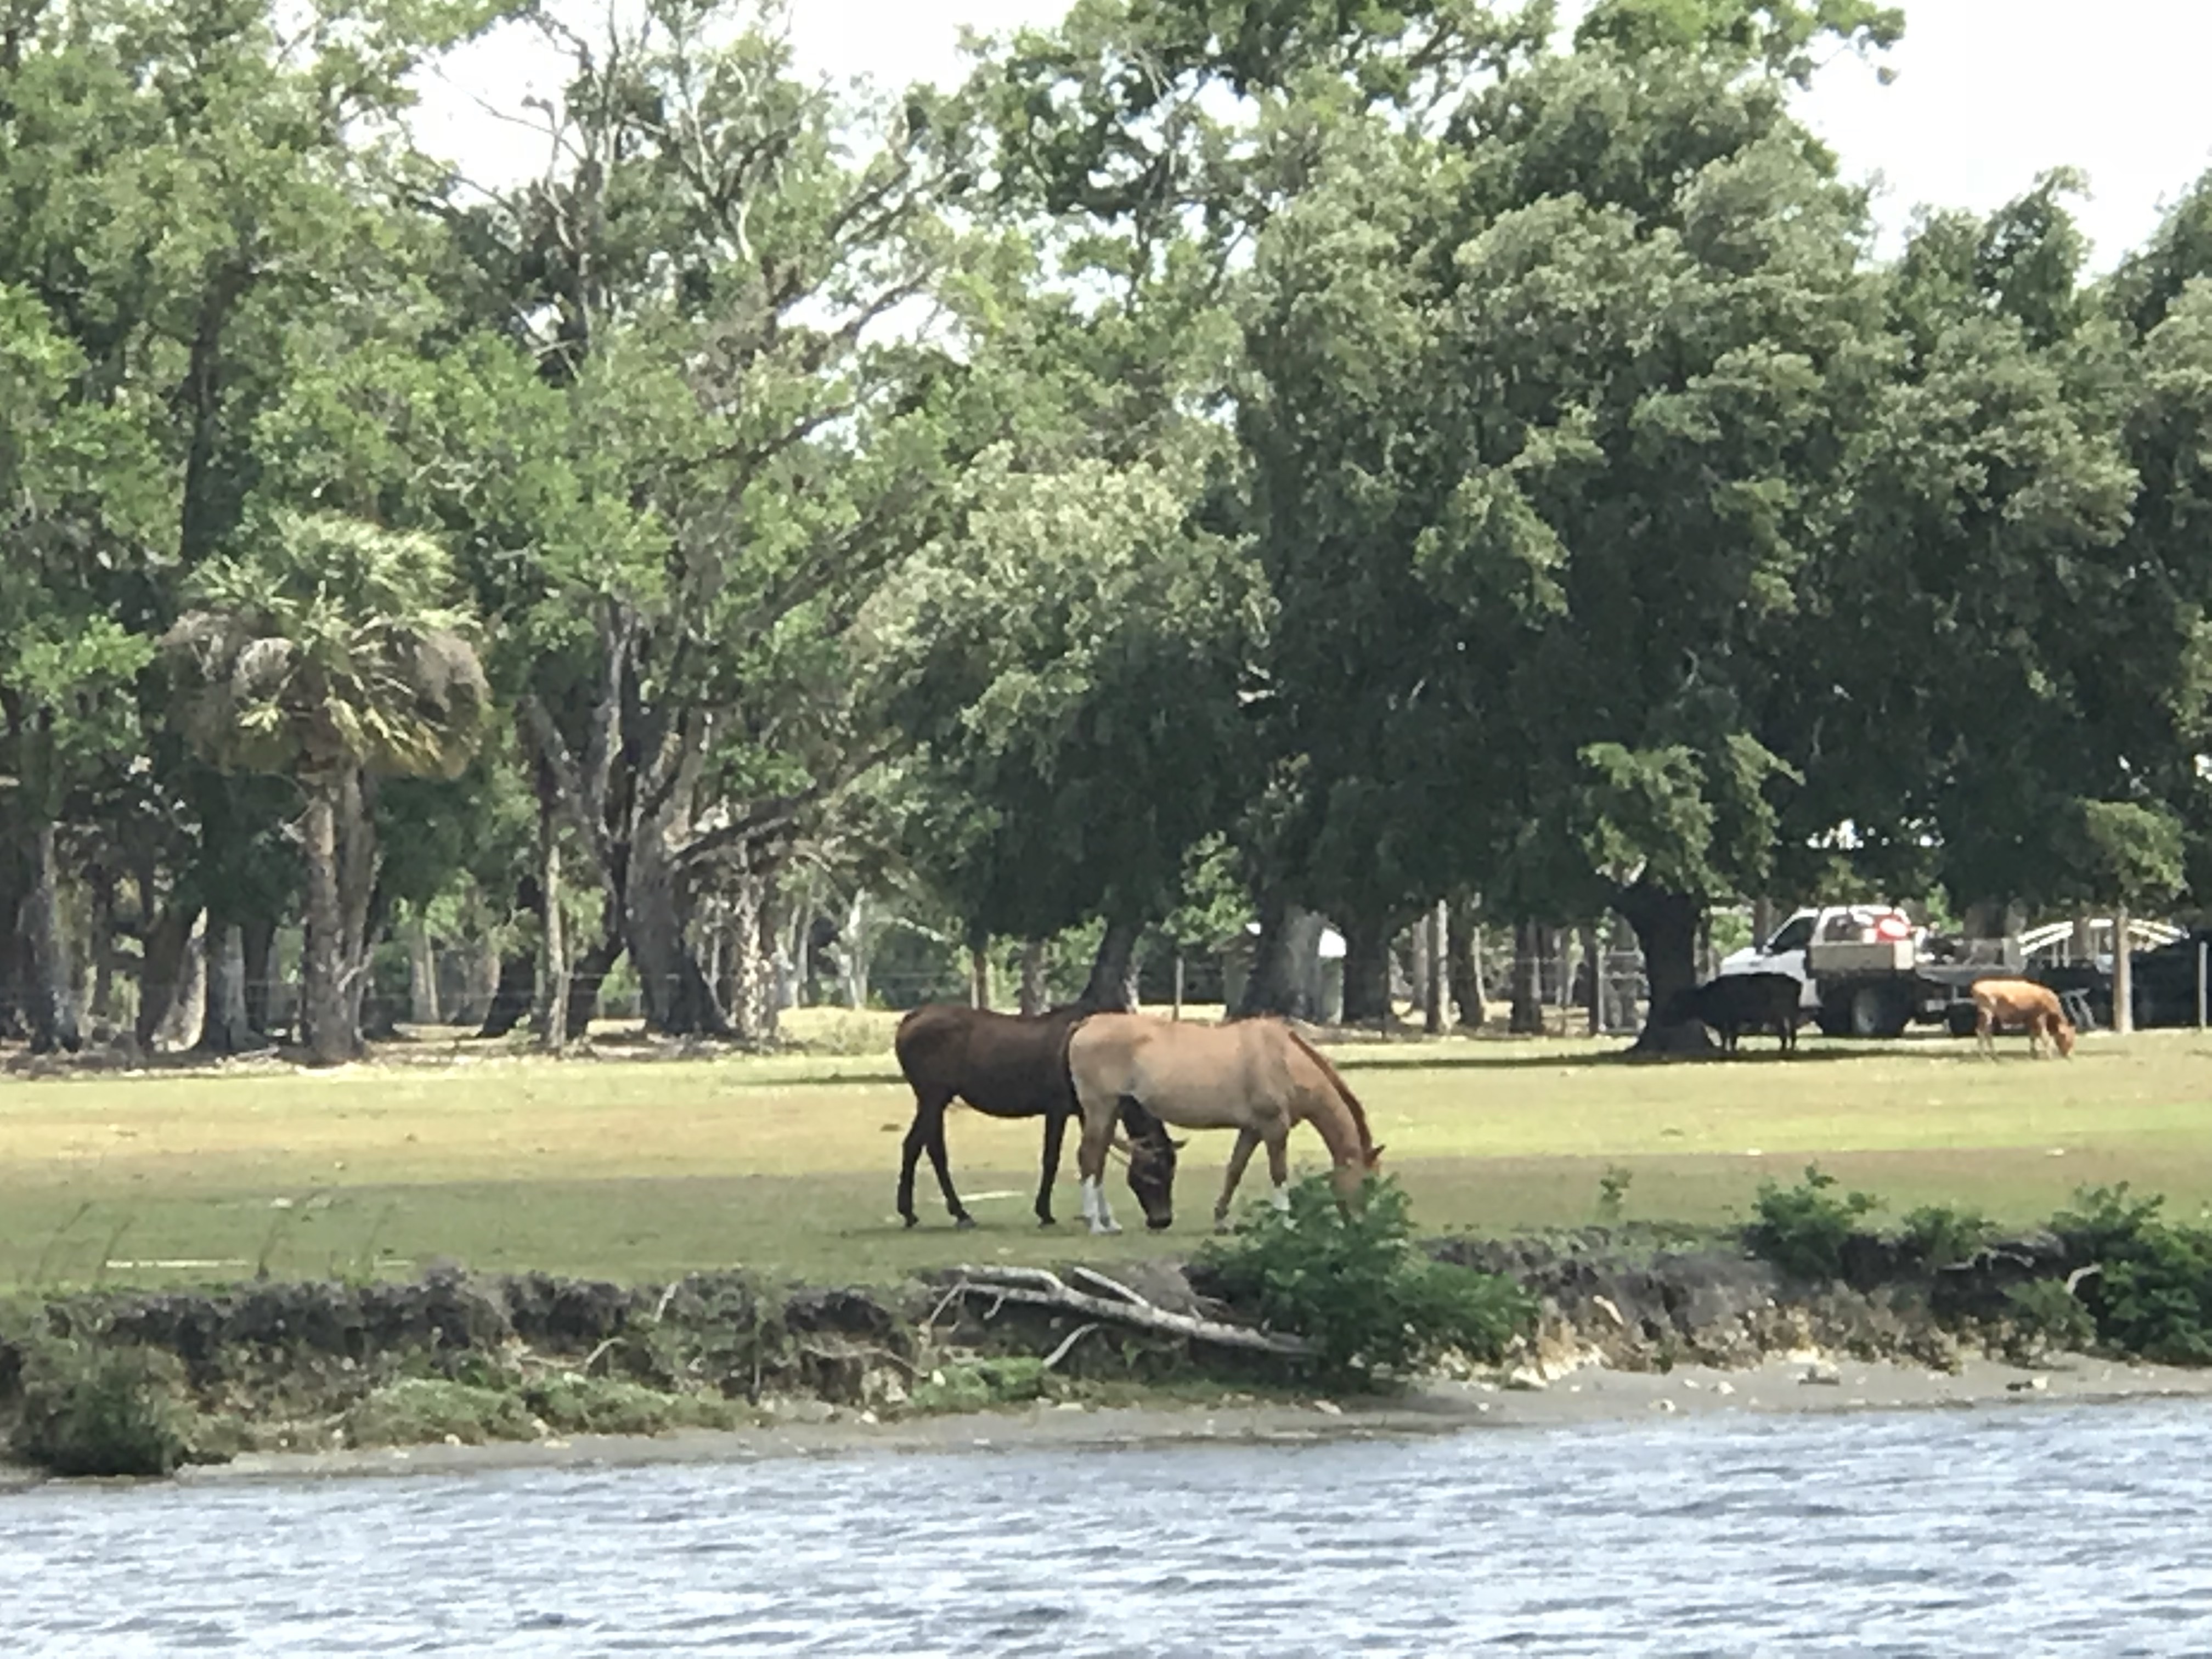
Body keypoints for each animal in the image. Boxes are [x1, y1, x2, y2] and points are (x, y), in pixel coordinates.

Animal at [892, 1003, 1177, 1230]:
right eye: (1153, 1173)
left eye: (1172, 1172)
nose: (1162, 1220)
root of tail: (909, 1020)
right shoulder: (1058, 1109)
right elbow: (1052, 1159)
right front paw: (1046, 1213)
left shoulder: (1088, 1111)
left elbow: (1097, 1159)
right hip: (934, 1097)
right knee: (931, 1149)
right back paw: (957, 1213)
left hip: (932, 1100)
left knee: (916, 1146)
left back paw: (915, 1212)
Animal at [1065, 1012, 1384, 1235]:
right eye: (1367, 1182)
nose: (1363, 1225)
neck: (1283, 1059)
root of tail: (1087, 1023)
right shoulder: (1274, 1129)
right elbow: (1278, 1173)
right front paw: (1286, 1222)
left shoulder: (1252, 1130)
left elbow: (1235, 1170)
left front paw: (1221, 1220)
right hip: (1100, 1108)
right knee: (1089, 1158)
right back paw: (1095, 1223)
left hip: (1112, 1111)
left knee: (1098, 1161)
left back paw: (1108, 1222)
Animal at [1970, 978, 2077, 1059]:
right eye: (2067, 1039)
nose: (2070, 1056)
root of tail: (1977, 985)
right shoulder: (2040, 1018)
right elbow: (2044, 1036)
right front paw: (2049, 1056)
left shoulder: (2030, 1020)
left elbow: (2032, 1037)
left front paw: (2034, 1054)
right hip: (1987, 1013)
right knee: (1984, 1032)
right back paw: (1986, 1057)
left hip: (1985, 1016)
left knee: (1983, 1032)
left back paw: (1991, 1056)